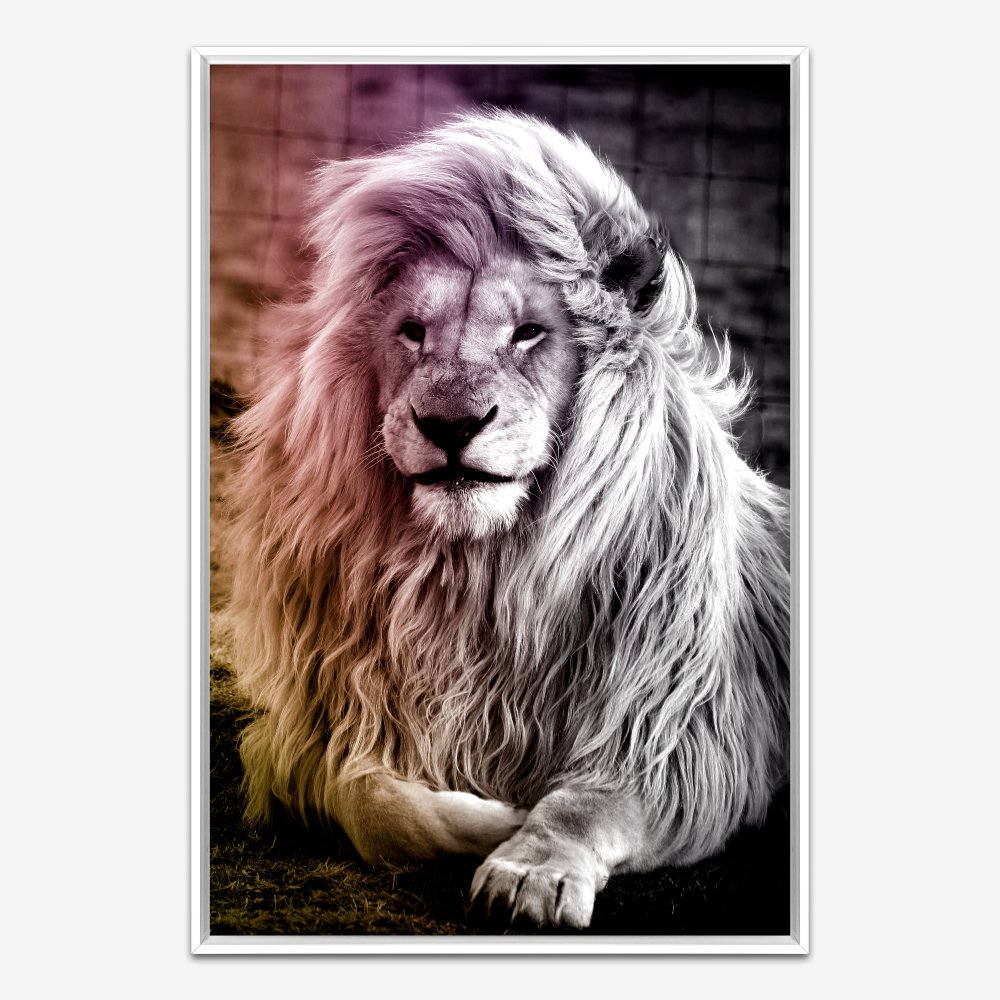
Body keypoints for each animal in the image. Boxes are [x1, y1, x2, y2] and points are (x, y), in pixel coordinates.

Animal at [225, 110, 790, 930]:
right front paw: (493, 819)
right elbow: (372, 801)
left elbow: (583, 804)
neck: (478, 576)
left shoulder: (681, 739)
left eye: (527, 332)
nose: (450, 424)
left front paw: (530, 867)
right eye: (413, 331)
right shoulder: (323, 729)